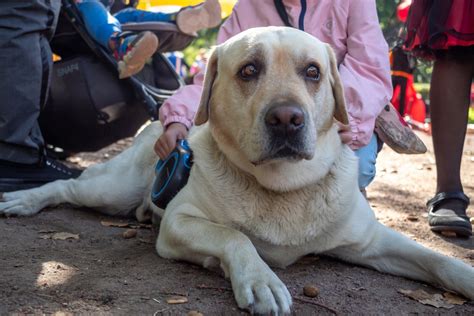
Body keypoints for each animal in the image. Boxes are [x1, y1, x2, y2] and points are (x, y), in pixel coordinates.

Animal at [0, 26, 474, 314]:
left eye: (313, 72)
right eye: (249, 70)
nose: (287, 118)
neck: (283, 190)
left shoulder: (373, 241)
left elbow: (435, 259)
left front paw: (466, 276)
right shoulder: (179, 222)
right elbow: (235, 236)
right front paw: (260, 279)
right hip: (112, 189)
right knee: (66, 187)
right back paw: (23, 198)